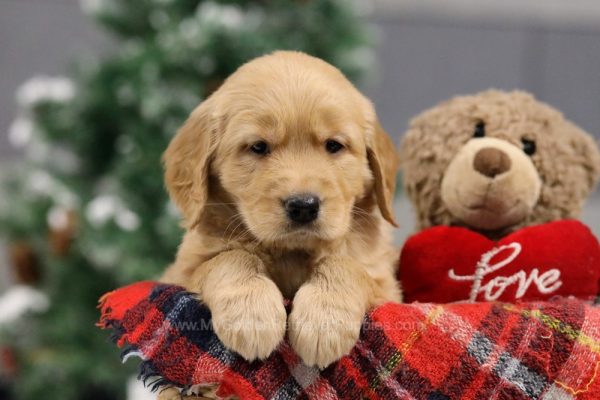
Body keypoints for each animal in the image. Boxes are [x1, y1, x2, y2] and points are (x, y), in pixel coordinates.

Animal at [162, 50, 400, 368]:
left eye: (333, 145)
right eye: (258, 147)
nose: (303, 206)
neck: (291, 253)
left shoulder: (385, 284)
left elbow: (344, 264)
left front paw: (324, 321)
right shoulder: (180, 273)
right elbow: (229, 258)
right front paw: (251, 315)